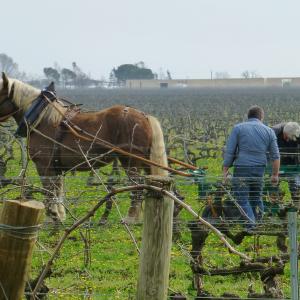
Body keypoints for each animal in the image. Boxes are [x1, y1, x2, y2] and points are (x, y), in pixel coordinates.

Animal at [0, 72, 169, 223]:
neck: (41, 118)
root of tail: (144, 116)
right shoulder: (56, 167)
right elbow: (58, 190)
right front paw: (60, 215)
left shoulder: (44, 166)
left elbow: (49, 191)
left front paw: (52, 216)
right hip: (146, 161)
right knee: (151, 184)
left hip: (130, 160)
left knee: (137, 186)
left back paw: (130, 218)